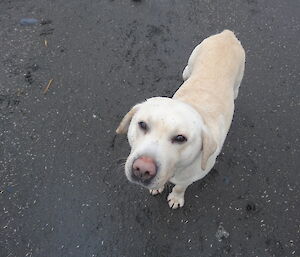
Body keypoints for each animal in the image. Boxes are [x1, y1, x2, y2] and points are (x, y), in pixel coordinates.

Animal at [116, 29, 245, 208]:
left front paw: (176, 197)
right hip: (190, 65)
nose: (142, 169)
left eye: (180, 138)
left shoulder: (191, 177)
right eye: (142, 125)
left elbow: (180, 186)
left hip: (238, 80)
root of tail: (227, 34)